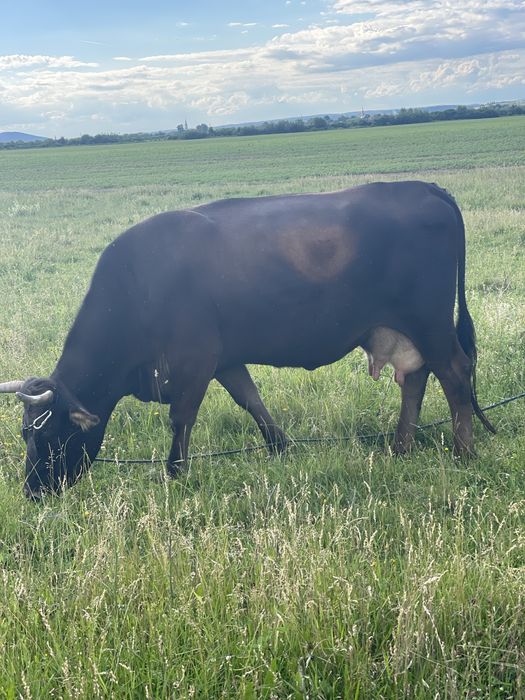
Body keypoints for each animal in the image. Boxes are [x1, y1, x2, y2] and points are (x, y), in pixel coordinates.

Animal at [0, 181, 495, 499]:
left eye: (51, 434)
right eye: (24, 433)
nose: (33, 492)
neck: (140, 286)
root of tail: (423, 187)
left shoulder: (195, 361)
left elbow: (181, 419)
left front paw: (174, 473)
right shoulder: (224, 359)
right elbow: (251, 400)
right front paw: (280, 446)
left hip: (429, 321)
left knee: (454, 373)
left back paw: (464, 452)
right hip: (403, 330)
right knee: (416, 378)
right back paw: (401, 446)